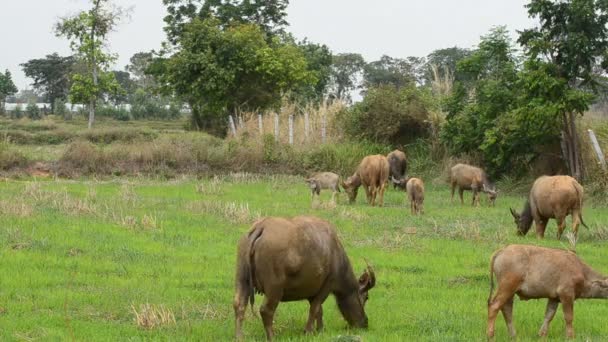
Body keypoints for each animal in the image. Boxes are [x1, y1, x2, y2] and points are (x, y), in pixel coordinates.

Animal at [233, 215, 376, 340]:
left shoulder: (312, 290)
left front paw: (320, 330)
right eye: (366, 297)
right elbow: (315, 308)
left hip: (242, 279)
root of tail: (261, 227)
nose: (365, 323)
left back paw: (239, 337)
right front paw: (308, 331)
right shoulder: (327, 285)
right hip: (274, 288)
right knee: (266, 310)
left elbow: (319, 311)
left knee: (239, 305)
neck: (336, 256)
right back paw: (271, 337)